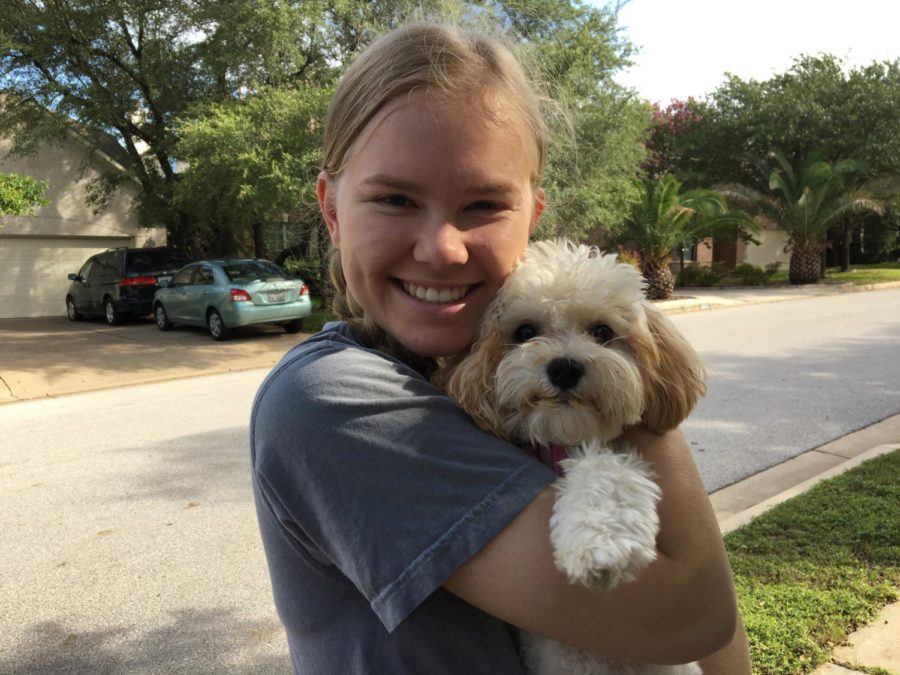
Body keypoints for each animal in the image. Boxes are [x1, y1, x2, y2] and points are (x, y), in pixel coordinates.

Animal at [432, 240, 708, 672]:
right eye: (526, 331)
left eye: (603, 332)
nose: (564, 368)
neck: (562, 440)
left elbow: (605, 472)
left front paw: (602, 547)